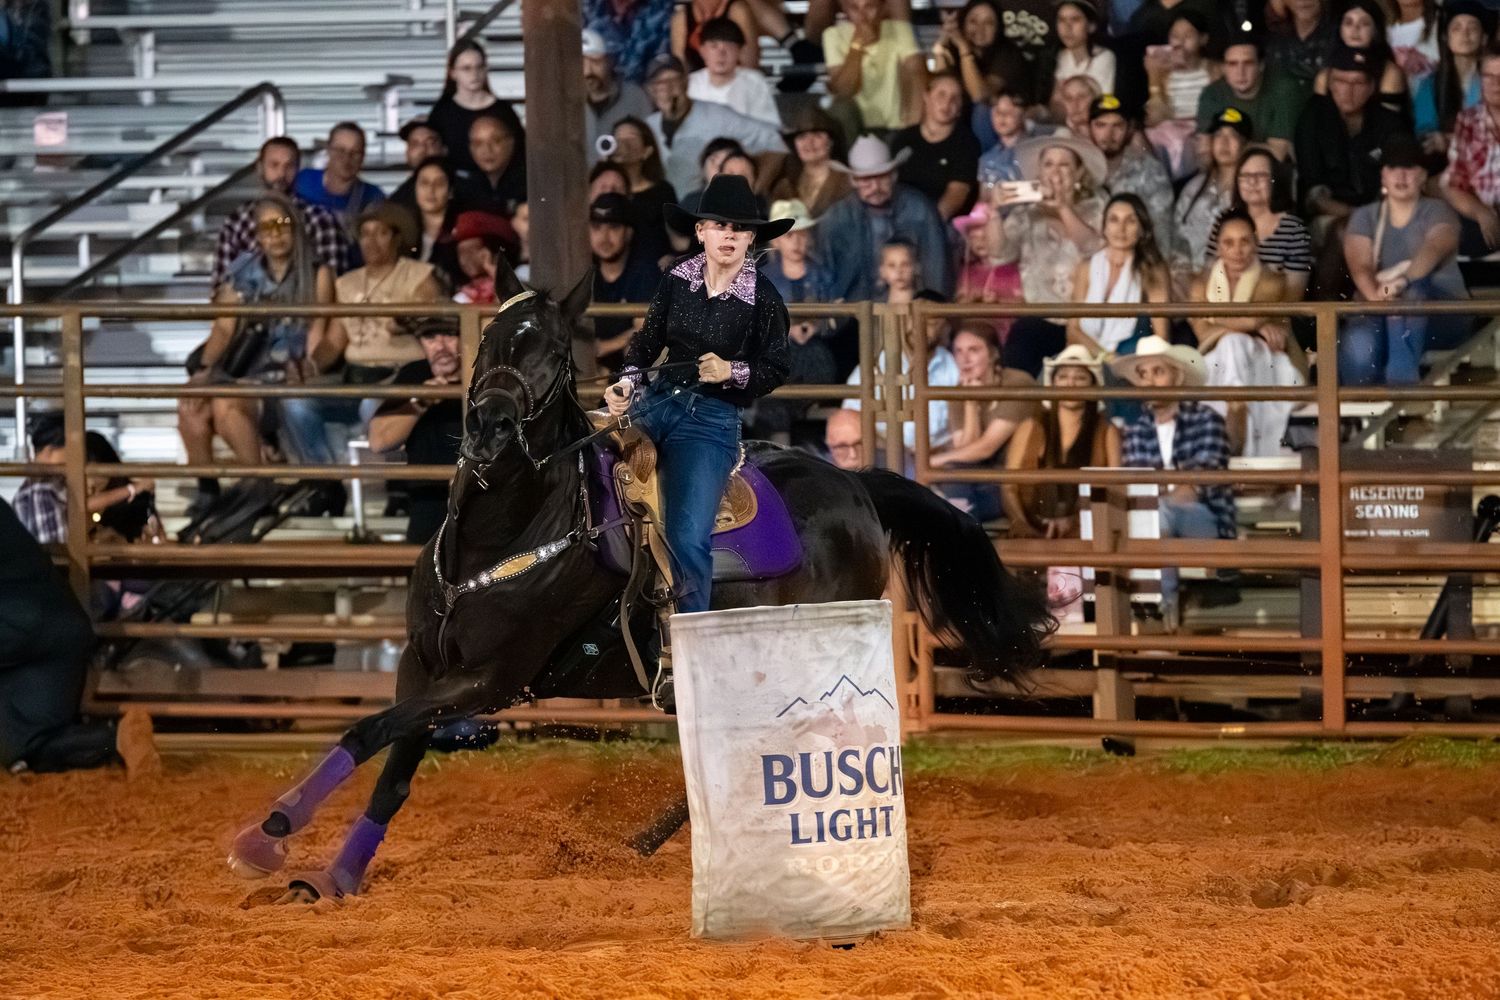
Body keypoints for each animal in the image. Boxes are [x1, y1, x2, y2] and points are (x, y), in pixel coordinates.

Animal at [226, 266, 1054, 902]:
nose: (490, 428)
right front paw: (333, 877)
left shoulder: (490, 679)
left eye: (554, 353)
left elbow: (367, 730)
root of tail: (855, 485)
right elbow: (394, 764)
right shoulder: (422, 664)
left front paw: (266, 836)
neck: (498, 539)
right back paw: (652, 844)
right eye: (489, 341)